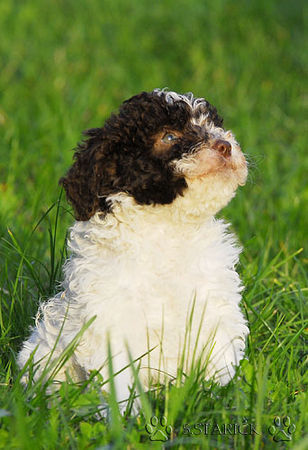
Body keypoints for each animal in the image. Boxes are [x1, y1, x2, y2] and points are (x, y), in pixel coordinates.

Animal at [17, 88, 250, 408]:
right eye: (169, 137)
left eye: (213, 124)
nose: (225, 145)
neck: (168, 231)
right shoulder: (112, 323)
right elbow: (119, 378)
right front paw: (126, 416)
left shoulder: (214, 308)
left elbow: (220, 363)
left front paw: (221, 403)